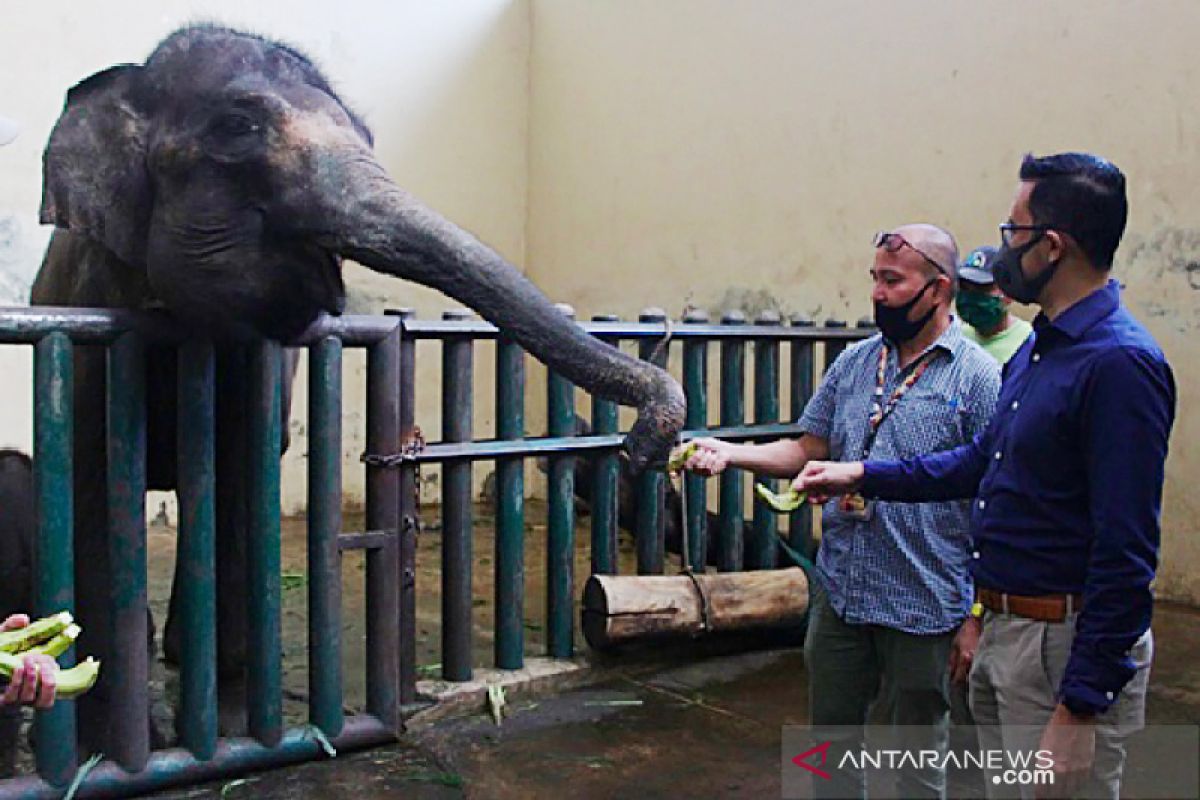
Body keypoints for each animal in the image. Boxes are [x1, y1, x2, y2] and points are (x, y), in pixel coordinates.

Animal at [30, 23, 686, 753]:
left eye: (369, 134)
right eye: (237, 127)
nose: (640, 448)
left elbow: (241, 481)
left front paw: (228, 727)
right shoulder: (90, 325)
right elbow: (98, 490)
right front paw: (111, 741)